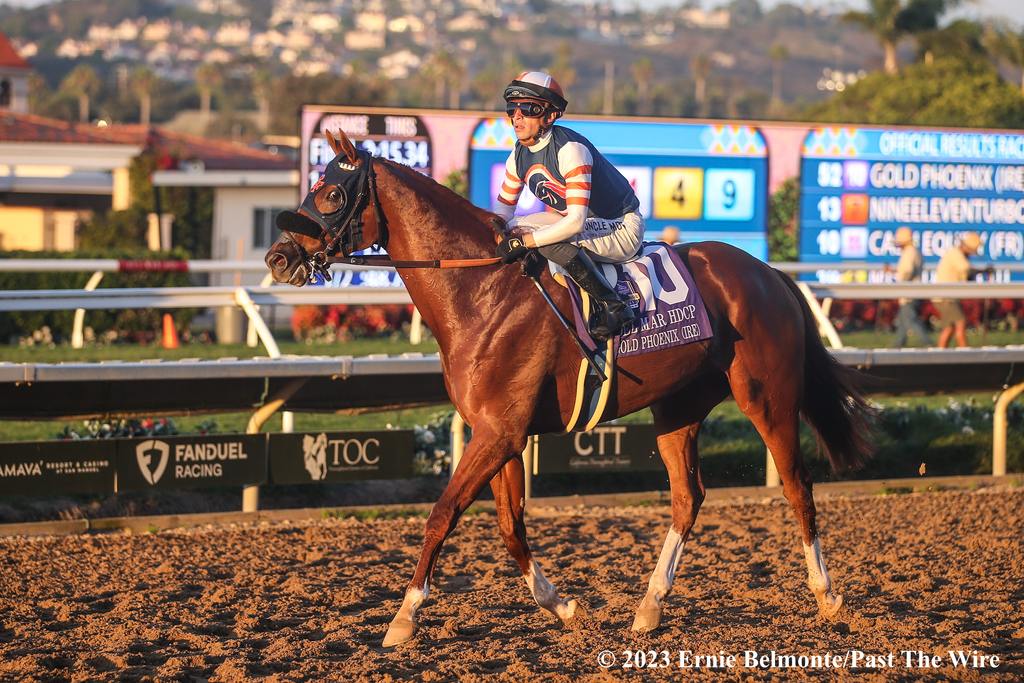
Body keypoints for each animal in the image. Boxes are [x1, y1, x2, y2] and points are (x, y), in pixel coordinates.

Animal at [266, 131, 872, 651]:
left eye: (332, 193)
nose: (278, 257)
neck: (481, 292)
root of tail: (772, 275)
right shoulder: (500, 432)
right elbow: (510, 527)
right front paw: (562, 606)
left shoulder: (498, 432)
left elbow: (442, 515)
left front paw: (404, 616)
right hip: (677, 406)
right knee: (687, 497)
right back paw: (649, 607)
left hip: (767, 398)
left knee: (797, 486)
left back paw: (826, 595)